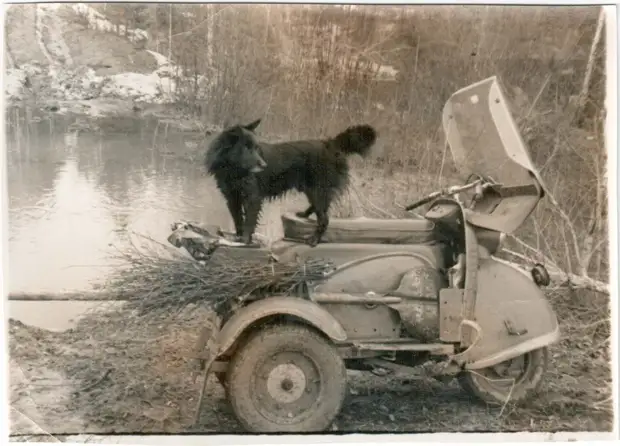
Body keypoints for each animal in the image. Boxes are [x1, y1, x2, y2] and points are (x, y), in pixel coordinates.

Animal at [206, 118, 376, 247]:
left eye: (256, 148)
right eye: (246, 148)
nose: (264, 165)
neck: (233, 169)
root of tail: (330, 144)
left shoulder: (253, 198)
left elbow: (249, 221)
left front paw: (245, 240)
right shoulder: (232, 197)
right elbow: (238, 220)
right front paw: (238, 238)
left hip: (317, 189)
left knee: (324, 219)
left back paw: (314, 240)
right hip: (313, 190)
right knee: (321, 208)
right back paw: (304, 214)